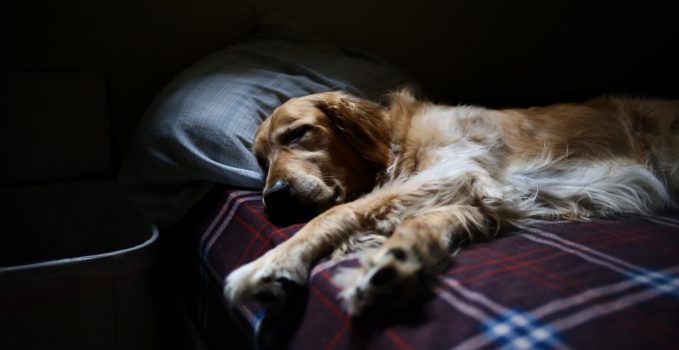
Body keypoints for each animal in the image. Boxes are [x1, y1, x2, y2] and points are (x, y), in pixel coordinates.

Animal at [224, 89, 679, 314]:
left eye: (298, 134)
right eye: (261, 160)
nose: (273, 199)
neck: (398, 144)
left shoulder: (459, 169)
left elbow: (340, 211)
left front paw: (272, 264)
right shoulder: (480, 197)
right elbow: (422, 223)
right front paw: (398, 260)